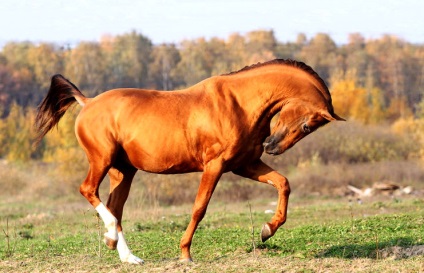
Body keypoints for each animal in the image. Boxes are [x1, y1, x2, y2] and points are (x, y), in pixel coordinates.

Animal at [34, 58, 342, 262]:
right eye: (307, 126)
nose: (272, 146)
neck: (240, 104)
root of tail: (87, 102)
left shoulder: (244, 165)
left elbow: (283, 183)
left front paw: (268, 230)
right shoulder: (215, 166)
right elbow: (199, 208)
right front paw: (185, 254)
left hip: (123, 171)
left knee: (115, 207)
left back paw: (123, 251)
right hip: (102, 161)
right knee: (89, 191)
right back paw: (120, 246)